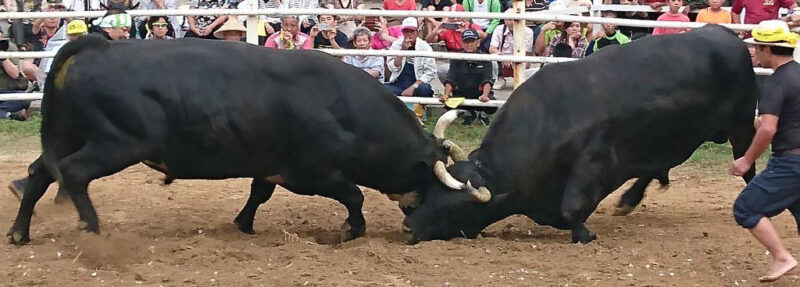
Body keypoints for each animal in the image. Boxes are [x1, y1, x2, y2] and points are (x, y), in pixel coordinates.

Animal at [9, 35, 490, 246]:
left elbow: (258, 193)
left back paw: (19, 233)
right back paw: (92, 230)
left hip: (68, 137)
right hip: (115, 145)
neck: (338, 104)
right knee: (73, 175)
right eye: (426, 175)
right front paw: (350, 230)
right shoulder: (311, 173)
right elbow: (353, 196)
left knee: (38, 175)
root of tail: (98, 47)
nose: (413, 209)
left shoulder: (270, 167)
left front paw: (243, 223)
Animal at [404, 24, 760, 244]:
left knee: (748, 168)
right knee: (656, 167)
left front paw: (584, 235)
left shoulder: (593, 161)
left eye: (454, 207)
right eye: (430, 193)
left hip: (742, 125)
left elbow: (571, 207)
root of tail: (728, 37)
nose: (408, 226)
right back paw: (628, 201)